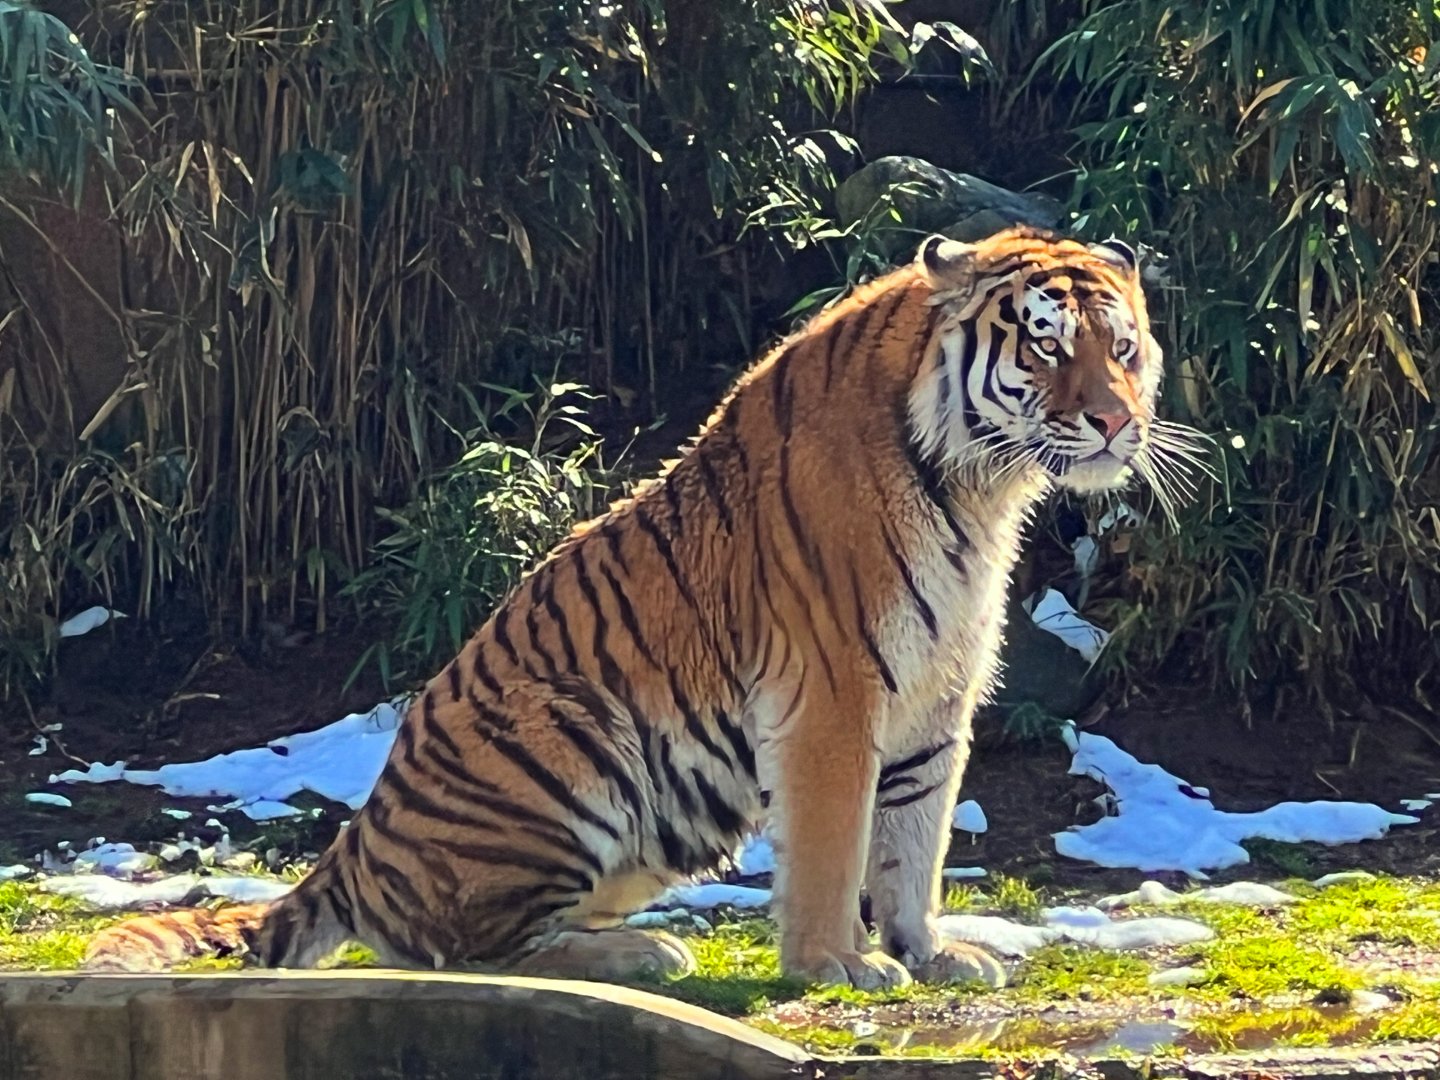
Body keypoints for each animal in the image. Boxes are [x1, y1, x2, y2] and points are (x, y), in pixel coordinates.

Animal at [84, 226, 1200, 989]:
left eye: (1124, 347)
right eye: (1046, 346)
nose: (1115, 422)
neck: (980, 487)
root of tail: (351, 849)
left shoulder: (936, 698)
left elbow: (912, 842)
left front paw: (929, 952)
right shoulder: (833, 699)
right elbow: (838, 845)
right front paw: (836, 966)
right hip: (569, 742)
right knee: (464, 951)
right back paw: (646, 957)